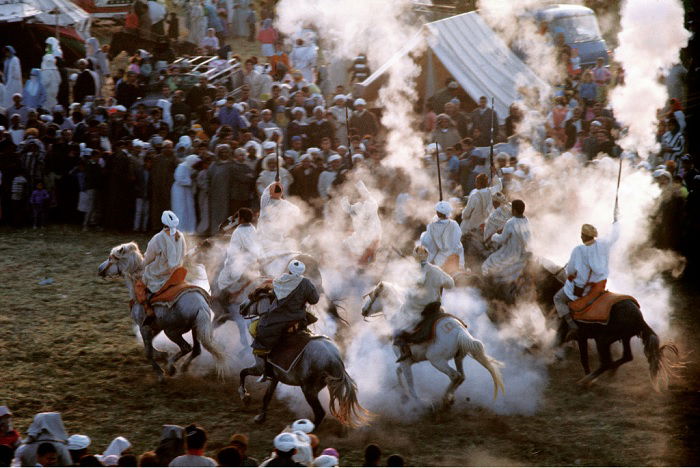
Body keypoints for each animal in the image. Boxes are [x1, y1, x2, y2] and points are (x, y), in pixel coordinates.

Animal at [97, 243, 224, 382]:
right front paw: (163, 355)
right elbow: (151, 347)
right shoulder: (156, 327)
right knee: (196, 350)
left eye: (111, 258)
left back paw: (171, 368)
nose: (99, 269)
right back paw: (183, 367)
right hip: (195, 329)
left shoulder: (144, 327)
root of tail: (200, 306)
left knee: (187, 347)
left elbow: (148, 352)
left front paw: (160, 373)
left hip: (172, 331)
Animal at [360, 282, 504, 410]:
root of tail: (459, 331)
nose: (363, 311)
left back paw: (445, 399)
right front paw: (403, 394)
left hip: (436, 360)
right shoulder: (410, 360)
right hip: (458, 358)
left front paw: (417, 401)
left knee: (455, 376)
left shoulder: (405, 361)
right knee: (462, 376)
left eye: (373, 295)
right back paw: (450, 398)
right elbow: (398, 371)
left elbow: (410, 381)